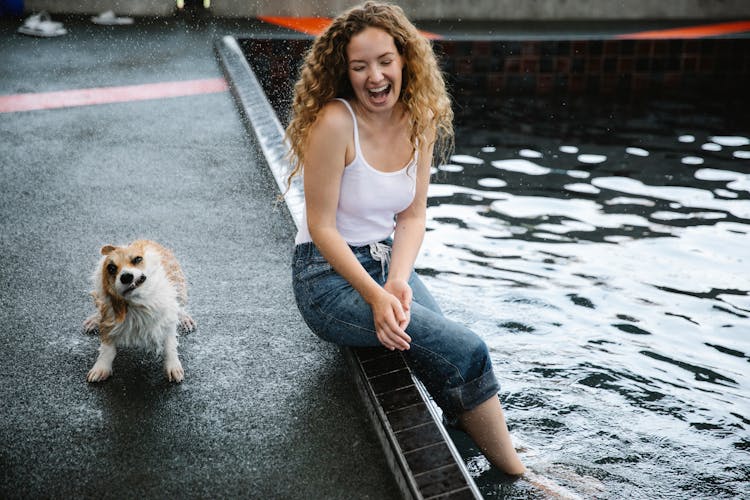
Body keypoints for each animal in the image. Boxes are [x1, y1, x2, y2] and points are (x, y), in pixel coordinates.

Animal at [83, 239, 195, 382]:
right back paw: (93, 320)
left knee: (180, 306)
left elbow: (170, 345)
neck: (137, 304)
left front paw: (173, 366)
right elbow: (107, 348)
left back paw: (185, 318)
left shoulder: (168, 318)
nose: (126, 276)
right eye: (111, 268)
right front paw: (101, 367)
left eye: (137, 259)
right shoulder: (108, 317)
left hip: (180, 287)